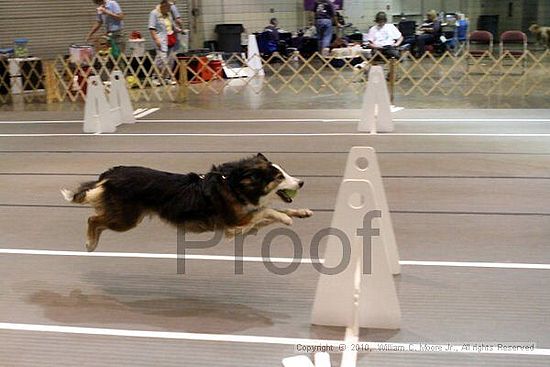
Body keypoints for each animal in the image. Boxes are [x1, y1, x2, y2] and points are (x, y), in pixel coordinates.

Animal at [62, 153, 312, 253]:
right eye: (279, 177)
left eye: (284, 173)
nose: (301, 182)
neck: (234, 185)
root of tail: (111, 173)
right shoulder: (234, 224)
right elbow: (268, 209)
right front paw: (287, 219)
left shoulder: (245, 225)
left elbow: (270, 210)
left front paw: (301, 212)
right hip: (126, 219)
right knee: (92, 219)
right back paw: (90, 243)